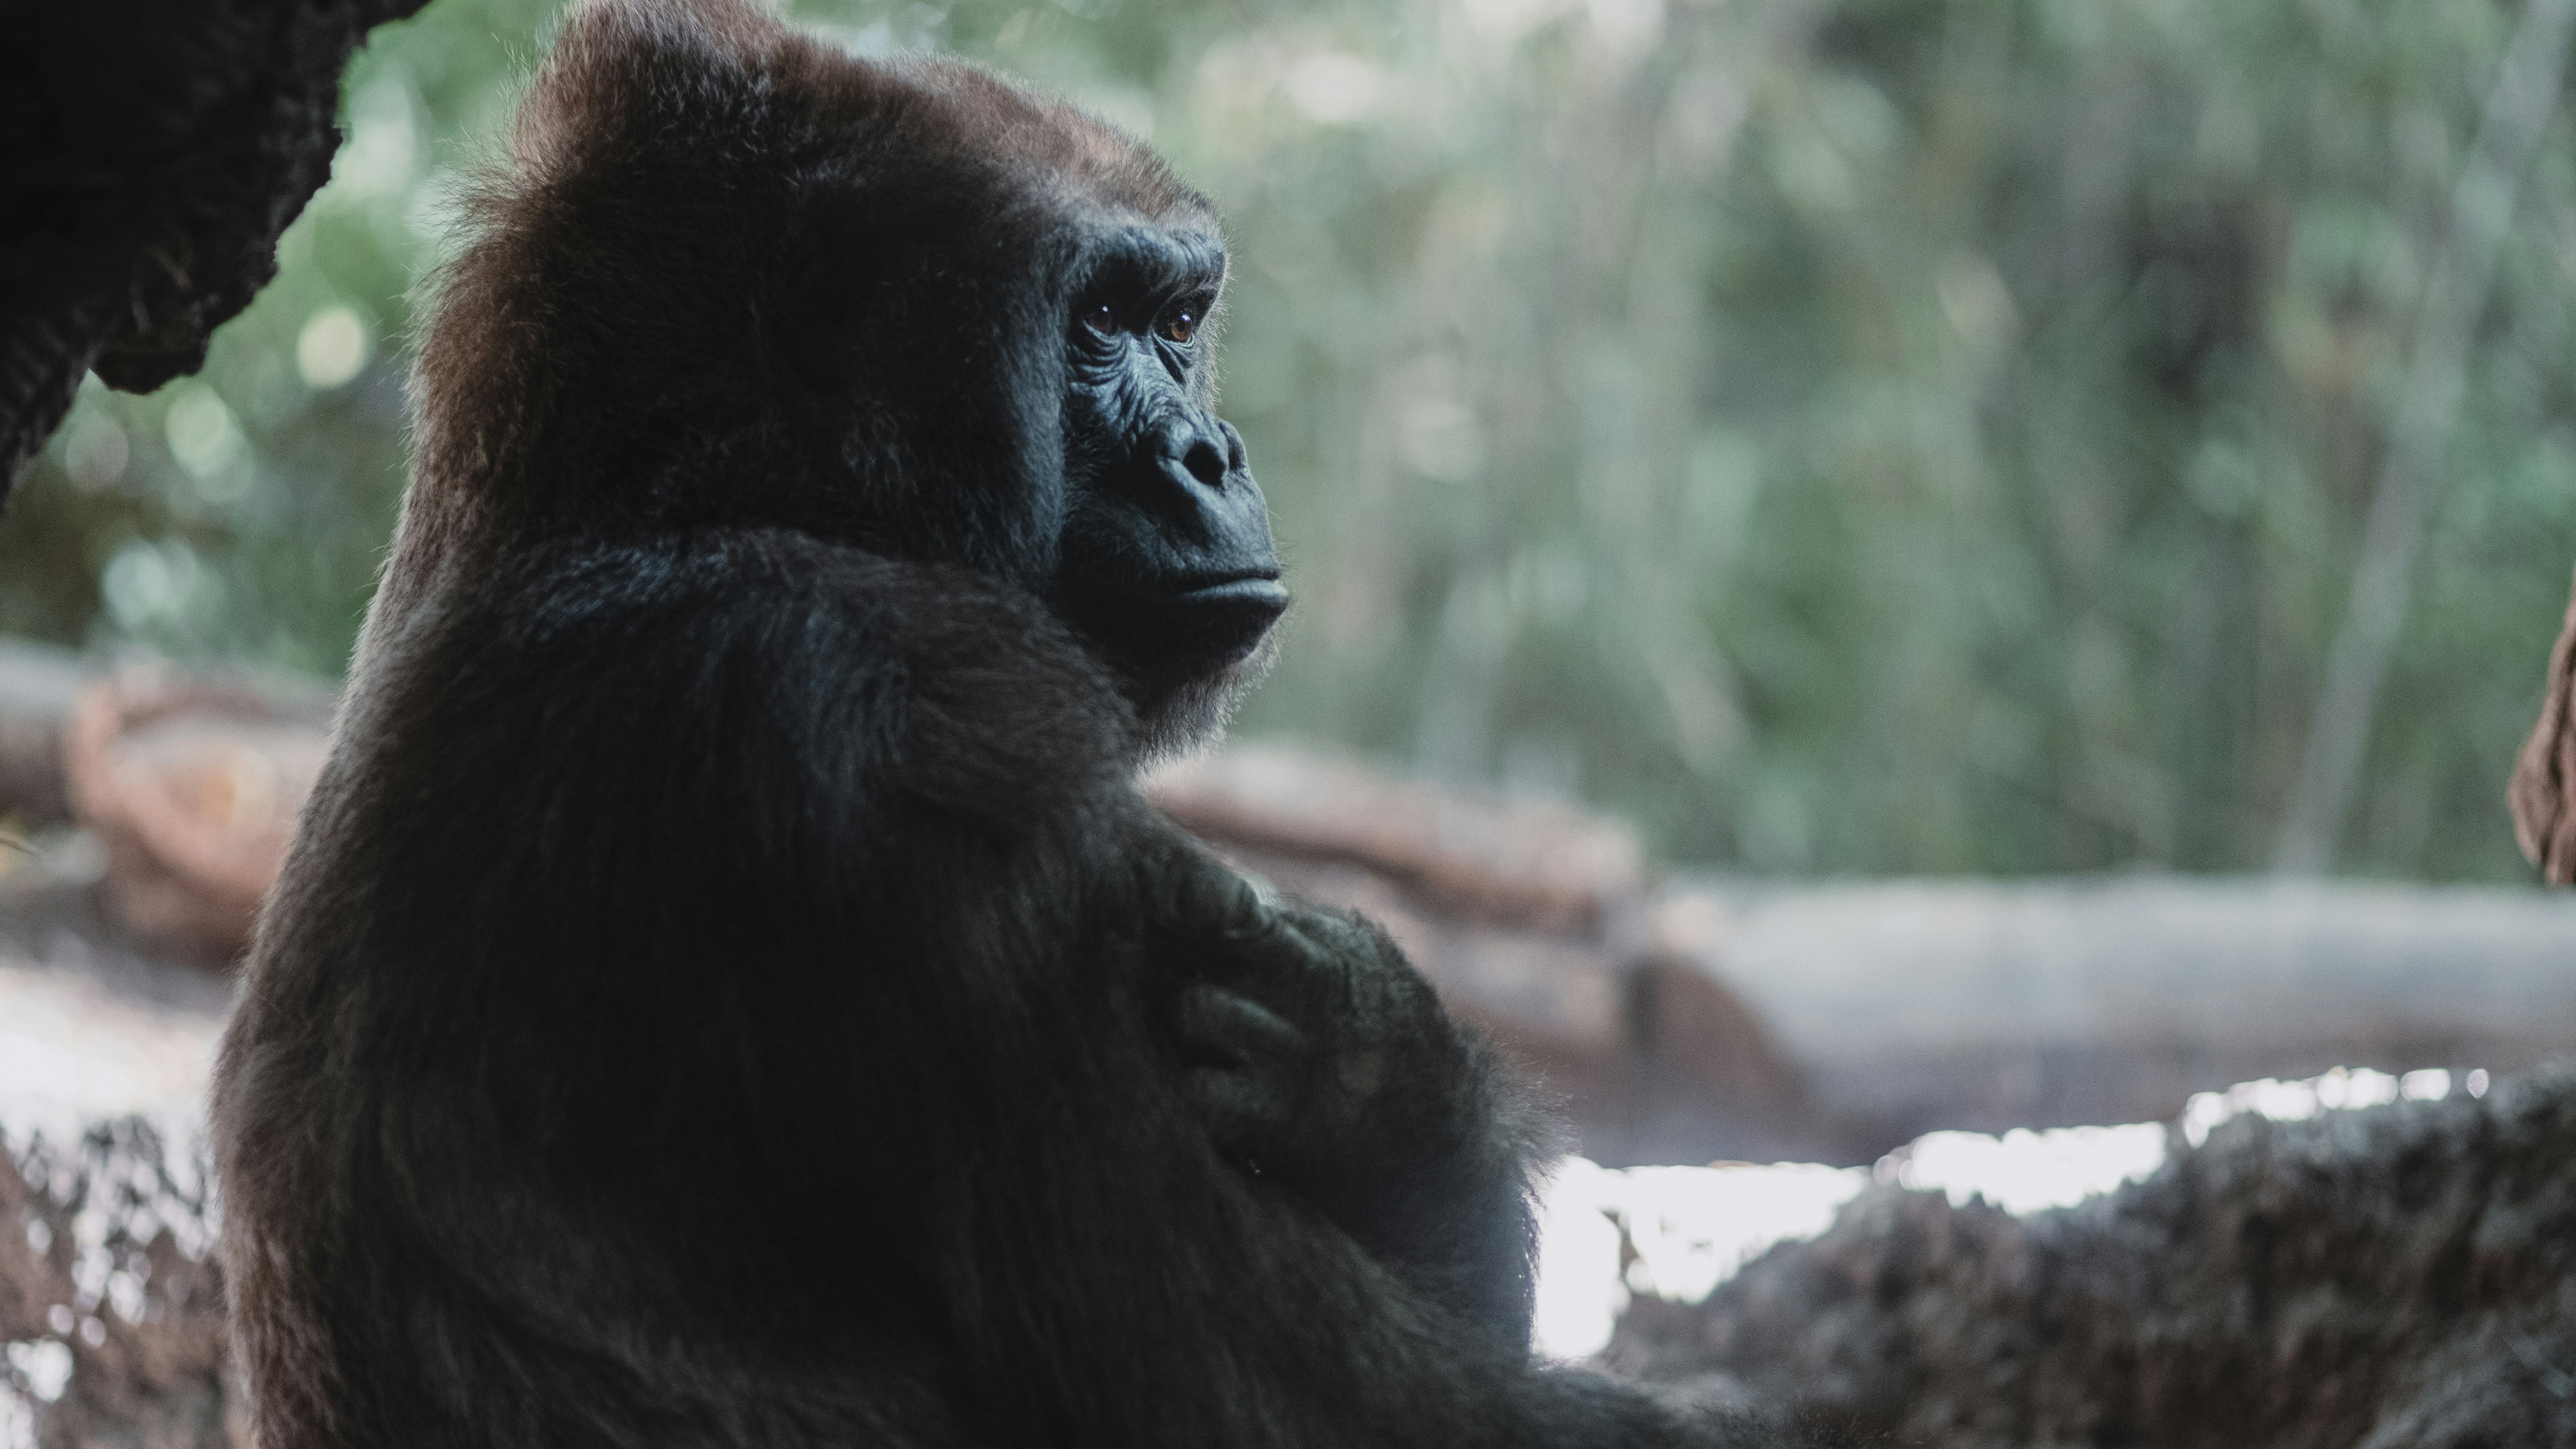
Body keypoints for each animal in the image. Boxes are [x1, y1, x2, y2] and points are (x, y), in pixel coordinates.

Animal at [211, 2, 1827, 1444]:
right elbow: (1326, 1412)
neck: (641, 498)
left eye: (1179, 323)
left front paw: (1364, 1064)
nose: (1215, 452)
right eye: (1103, 320)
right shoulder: (897, 712)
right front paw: (1393, 1089)